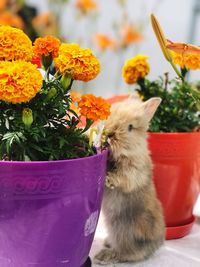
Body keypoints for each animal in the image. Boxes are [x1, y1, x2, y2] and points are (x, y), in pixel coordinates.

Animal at [94, 97, 165, 266]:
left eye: (130, 127)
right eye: (111, 112)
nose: (109, 133)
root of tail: (155, 245)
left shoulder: (133, 171)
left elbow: (124, 177)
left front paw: (108, 179)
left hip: (124, 231)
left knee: (129, 254)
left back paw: (104, 256)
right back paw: (107, 243)